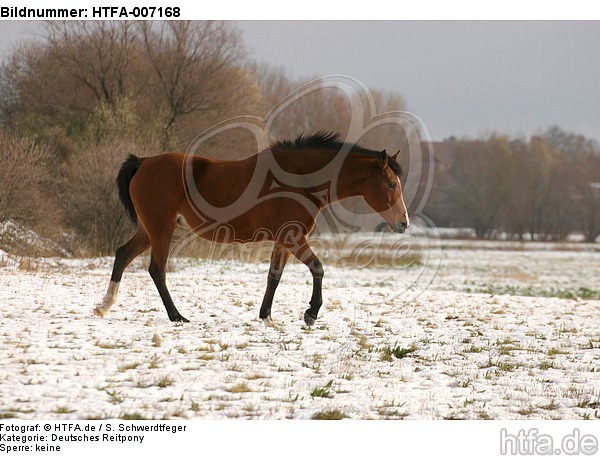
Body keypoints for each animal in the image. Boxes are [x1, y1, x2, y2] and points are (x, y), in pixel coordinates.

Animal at [95, 130, 408, 326]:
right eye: (391, 184)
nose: (403, 222)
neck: (300, 179)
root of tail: (144, 162)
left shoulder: (284, 240)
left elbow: (274, 276)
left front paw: (266, 317)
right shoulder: (294, 238)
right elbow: (318, 268)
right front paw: (311, 313)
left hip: (150, 230)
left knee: (123, 255)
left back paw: (104, 305)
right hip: (161, 230)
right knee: (157, 270)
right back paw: (177, 316)